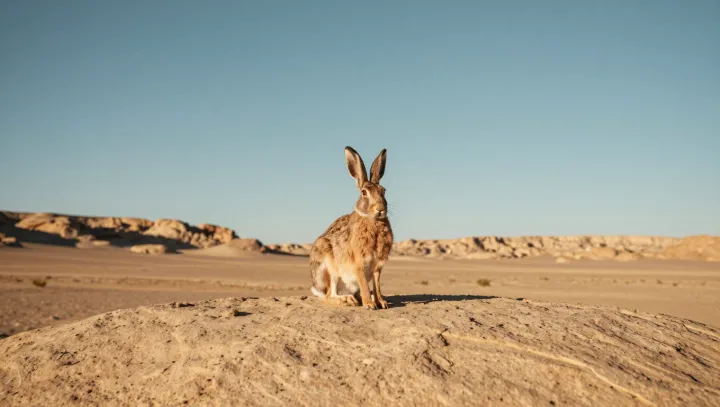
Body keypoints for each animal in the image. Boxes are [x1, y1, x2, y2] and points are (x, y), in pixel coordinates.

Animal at [309, 146, 394, 310]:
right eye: (364, 192)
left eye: (384, 191)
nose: (380, 209)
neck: (372, 220)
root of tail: (316, 288)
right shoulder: (359, 263)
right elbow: (364, 283)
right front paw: (369, 305)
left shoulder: (377, 267)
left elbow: (377, 285)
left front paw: (381, 302)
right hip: (330, 268)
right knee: (328, 296)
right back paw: (347, 300)